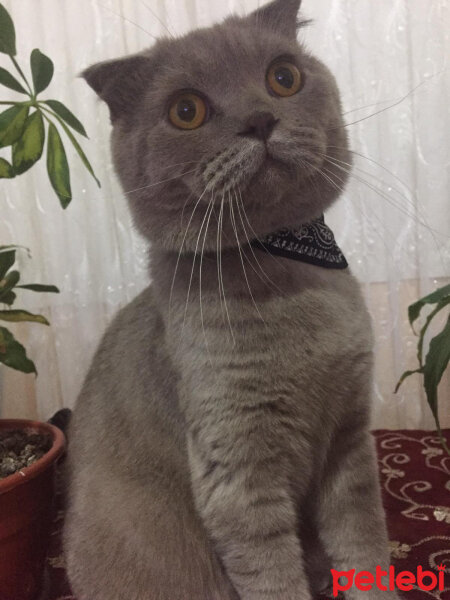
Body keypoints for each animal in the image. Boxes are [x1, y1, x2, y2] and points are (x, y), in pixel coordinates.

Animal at [63, 1, 398, 600]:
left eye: (284, 77)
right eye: (186, 111)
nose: (260, 120)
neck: (289, 279)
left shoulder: (350, 438)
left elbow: (364, 543)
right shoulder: (238, 469)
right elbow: (275, 579)